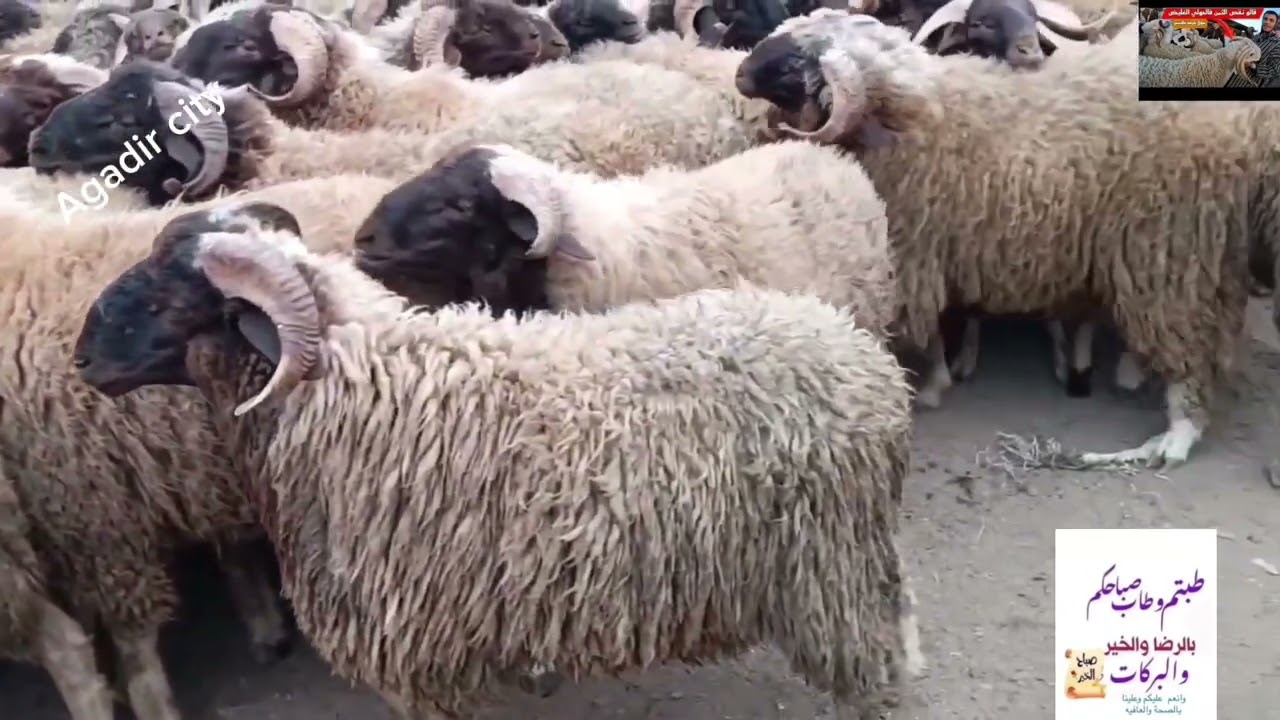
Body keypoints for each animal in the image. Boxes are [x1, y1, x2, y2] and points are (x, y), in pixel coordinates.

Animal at [70, 210, 925, 720]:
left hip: (832, 573)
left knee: (877, 676)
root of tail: (866, 361)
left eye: (176, 298)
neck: (352, 390)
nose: (83, 357)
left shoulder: (411, 646)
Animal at [734, 10, 1253, 466]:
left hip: (1169, 253)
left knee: (1187, 349)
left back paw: (1174, 435)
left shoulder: (915, 252)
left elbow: (928, 329)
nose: (740, 73)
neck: (916, 115)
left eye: (797, 62)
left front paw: (933, 386)